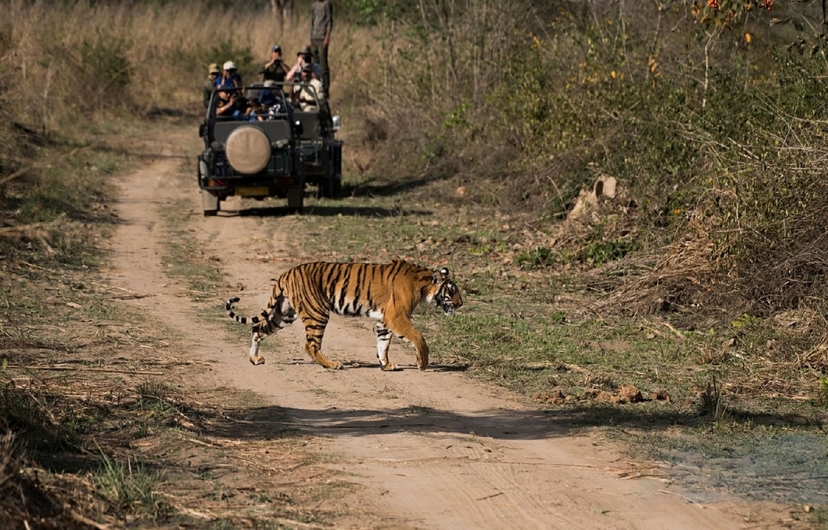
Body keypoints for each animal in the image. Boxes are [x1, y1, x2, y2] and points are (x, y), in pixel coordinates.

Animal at [226, 259, 463, 371]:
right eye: (452, 291)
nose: (461, 304)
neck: (423, 285)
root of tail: (287, 272)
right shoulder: (397, 316)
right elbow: (418, 338)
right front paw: (422, 363)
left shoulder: (384, 320)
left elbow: (383, 343)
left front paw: (385, 365)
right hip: (317, 313)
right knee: (310, 345)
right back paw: (333, 364)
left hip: (284, 314)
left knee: (258, 328)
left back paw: (255, 359)